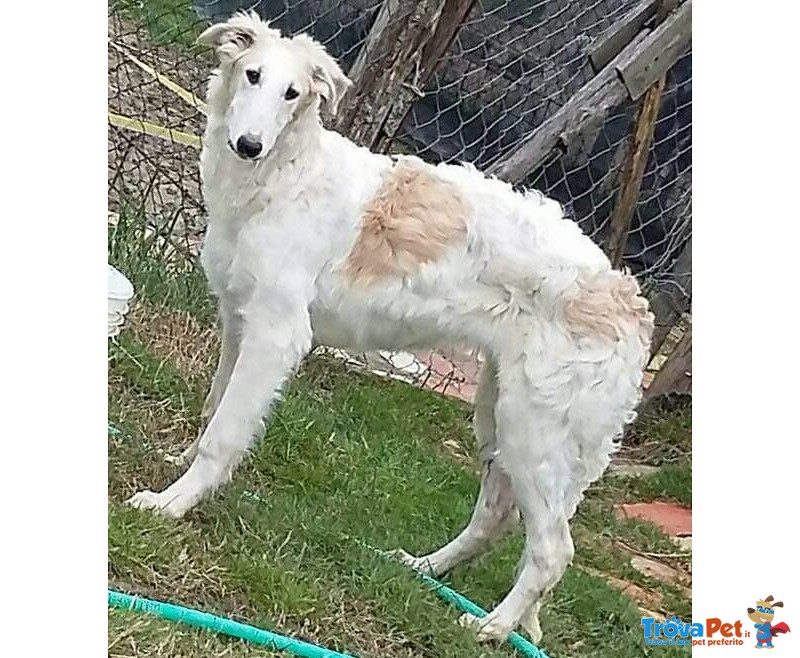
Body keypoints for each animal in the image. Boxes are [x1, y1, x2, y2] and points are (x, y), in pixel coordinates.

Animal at [128, 11, 652, 640]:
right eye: (251, 74)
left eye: (293, 94)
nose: (249, 145)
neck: (285, 174)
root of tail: (630, 301)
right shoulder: (237, 318)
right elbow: (212, 411)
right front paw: (177, 466)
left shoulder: (277, 333)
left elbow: (224, 434)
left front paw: (172, 504)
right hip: (499, 409)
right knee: (495, 518)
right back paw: (422, 570)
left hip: (538, 430)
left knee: (553, 550)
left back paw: (490, 627)